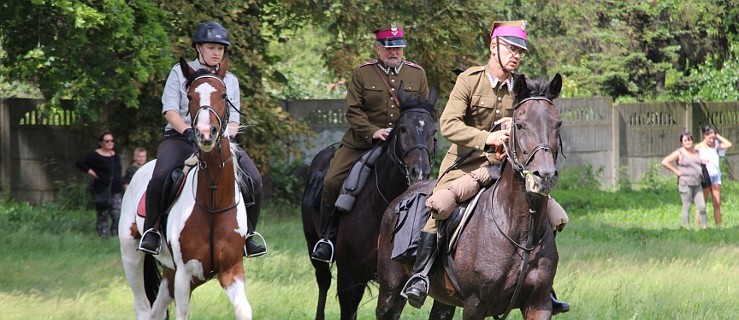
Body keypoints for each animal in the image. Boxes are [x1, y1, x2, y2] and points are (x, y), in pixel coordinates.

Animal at [118, 56, 251, 318]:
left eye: (223, 95)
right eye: (190, 96)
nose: (205, 134)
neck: (213, 201)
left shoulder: (231, 269)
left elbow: (243, 310)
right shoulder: (184, 274)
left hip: (170, 275)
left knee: (156, 310)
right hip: (131, 255)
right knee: (143, 308)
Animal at [300, 88, 440, 320]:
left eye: (433, 131)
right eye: (403, 128)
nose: (420, 171)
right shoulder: (348, 277)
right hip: (313, 243)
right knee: (323, 281)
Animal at [378, 74, 564, 318]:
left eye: (557, 123)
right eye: (520, 124)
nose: (544, 176)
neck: (523, 230)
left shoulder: (539, 304)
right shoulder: (475, 304)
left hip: (444, 301)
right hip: (390, 291)